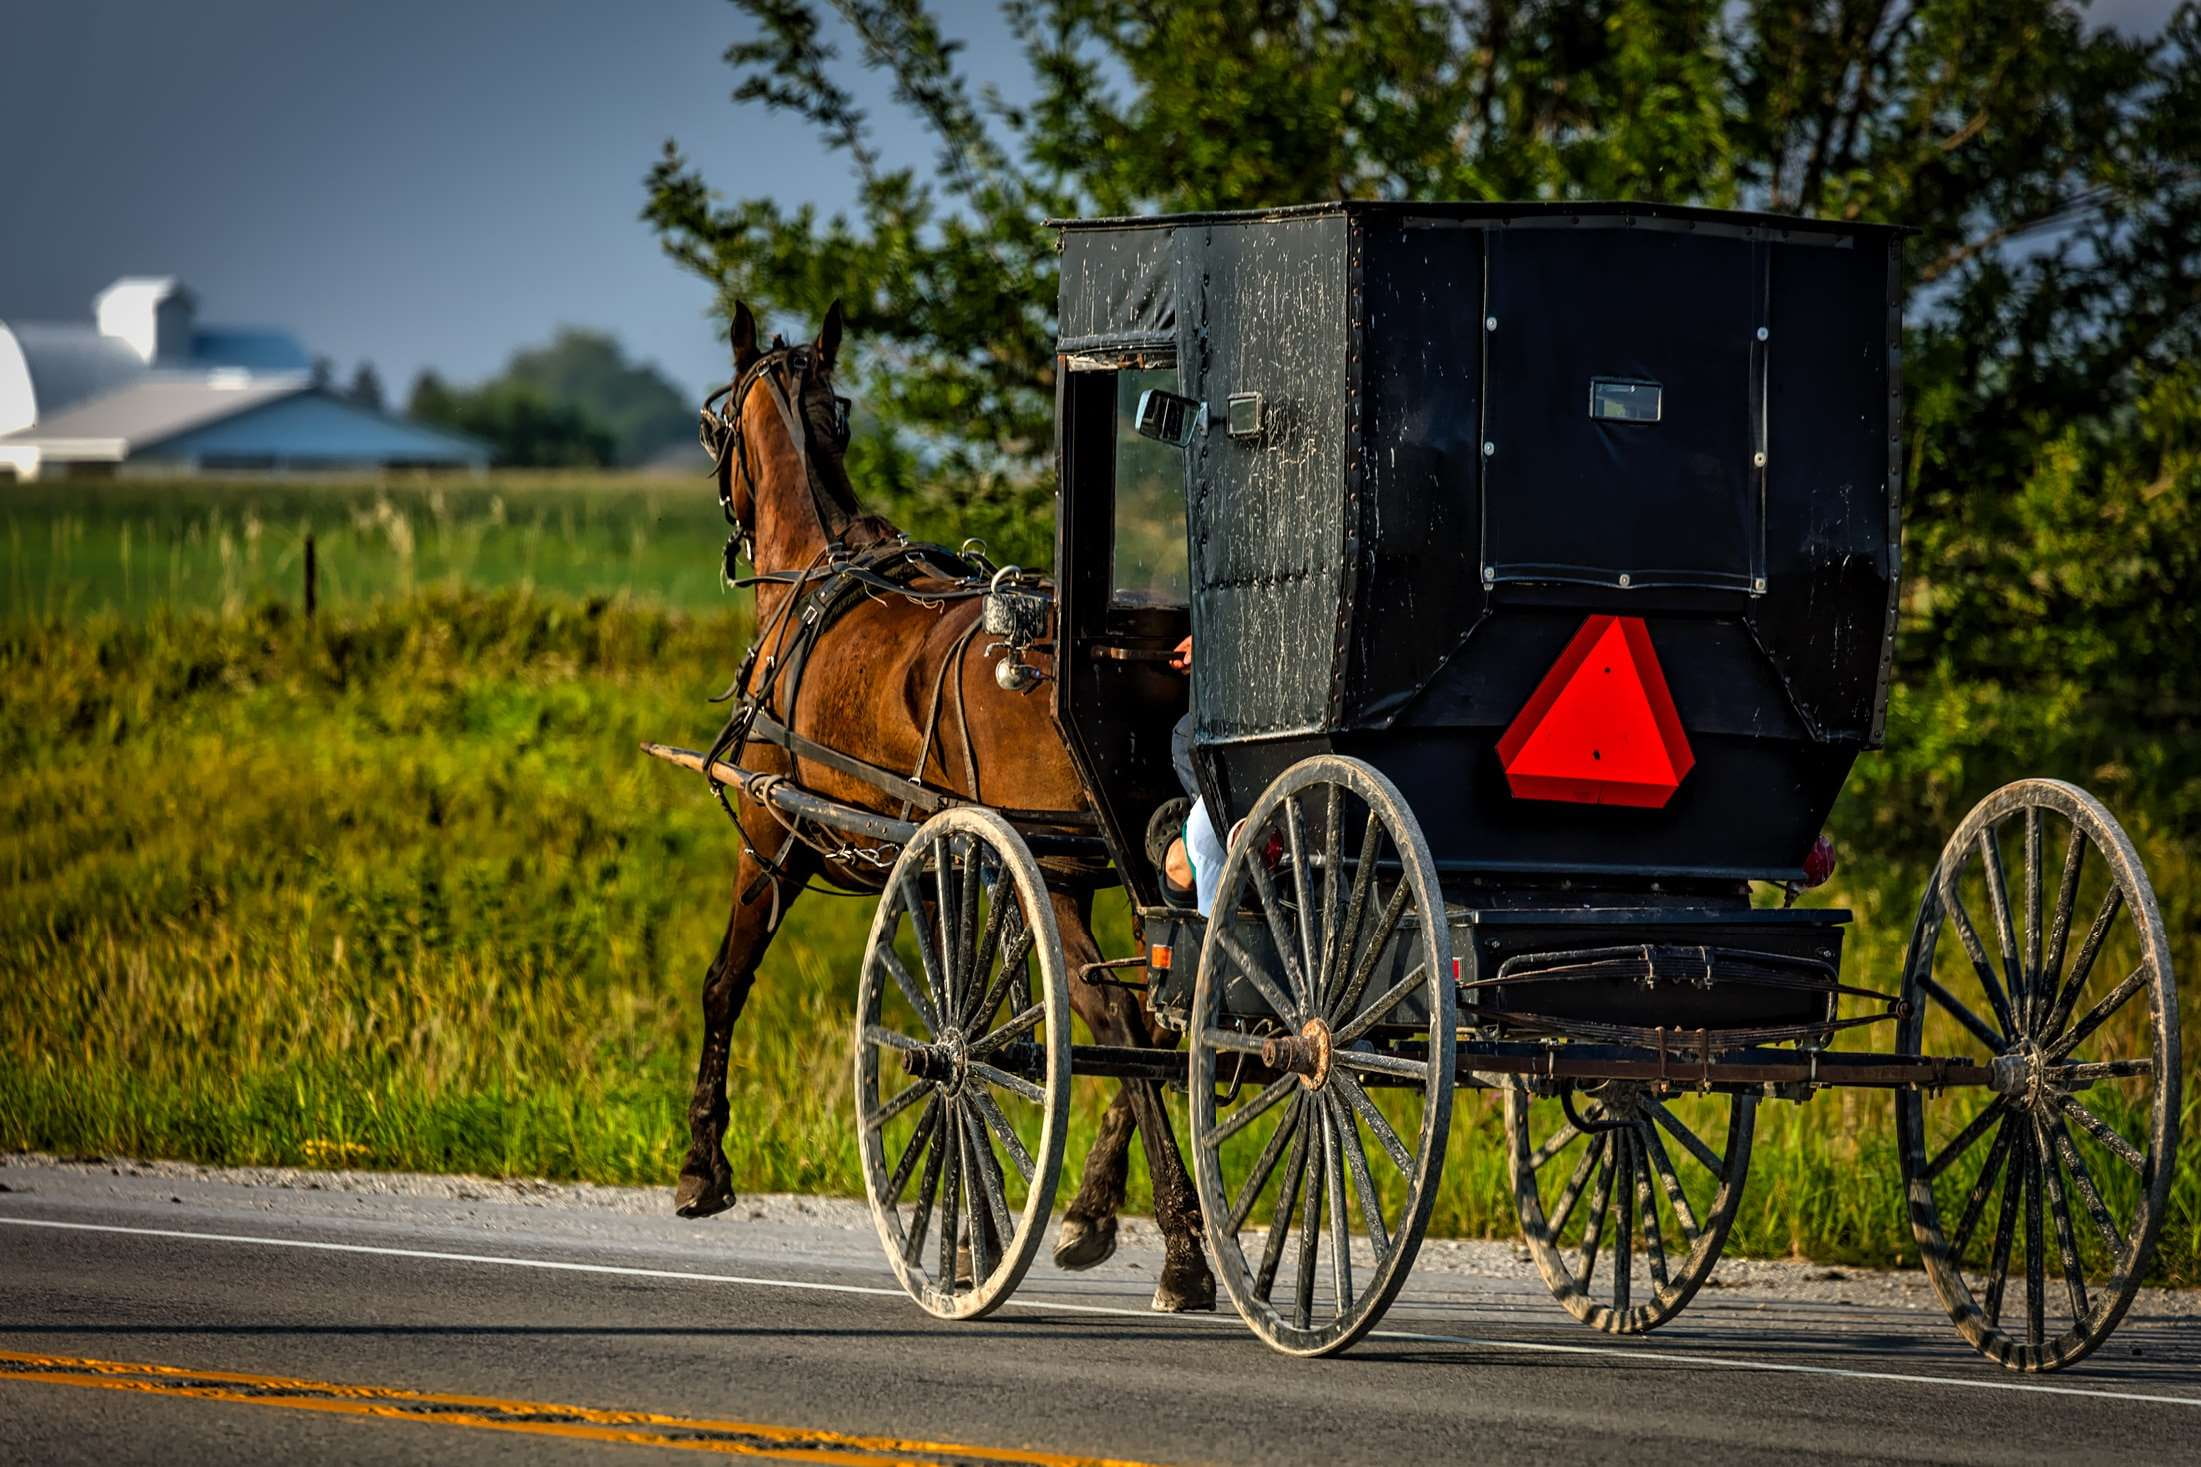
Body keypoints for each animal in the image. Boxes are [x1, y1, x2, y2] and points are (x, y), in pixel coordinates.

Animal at [672, 299, 1215, 1313]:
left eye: (713, 426)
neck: (814, 571)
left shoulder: (770, 841)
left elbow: (725, 983)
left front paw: (701, 1166)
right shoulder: (945, 867)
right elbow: (980, 1021)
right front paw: (973, 1231)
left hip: (1056, 872)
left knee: (1122, 1021)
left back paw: (1181, 1247)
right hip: (1117, 870)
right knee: (1169, 1016)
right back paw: (1095, 1214)